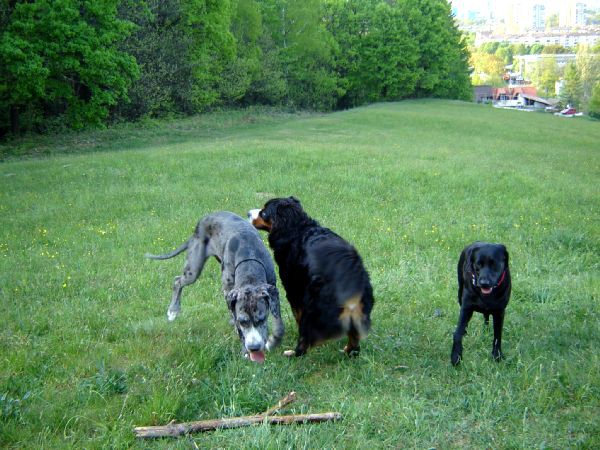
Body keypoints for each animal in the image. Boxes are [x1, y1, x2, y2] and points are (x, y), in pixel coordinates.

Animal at [247, 195, 370, 356]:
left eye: (264, 212)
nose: (248, 213)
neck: (296, 229)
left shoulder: (294, 290)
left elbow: (298, 316)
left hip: (311, 301)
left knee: (306, 333)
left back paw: (294, 353)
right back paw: (349, 352)